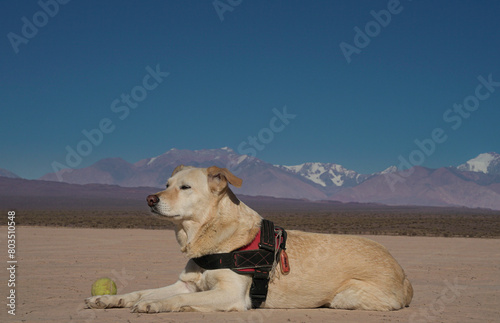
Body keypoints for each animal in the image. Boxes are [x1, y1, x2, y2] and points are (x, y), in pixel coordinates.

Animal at [86, 166, 412, 312]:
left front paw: (158, 305)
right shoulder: (187, 283)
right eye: (166, 184)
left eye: (185, 187)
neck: (213, 236)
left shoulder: (231, 294)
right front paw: (108, 298)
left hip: (343, 297)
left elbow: (173, 299)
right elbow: (140, 292)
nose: (150, 199)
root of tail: (404, 275)